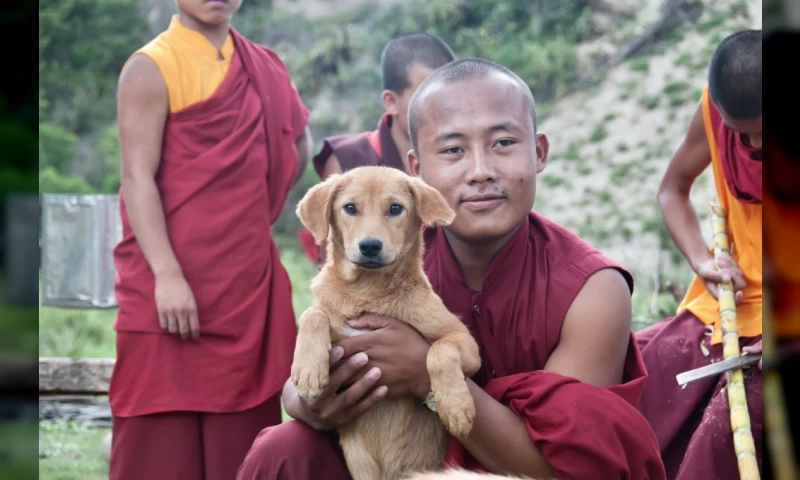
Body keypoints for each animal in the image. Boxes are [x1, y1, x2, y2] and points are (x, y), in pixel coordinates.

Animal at [294, 166, 482, 480]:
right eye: (350, 208)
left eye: (395, 208)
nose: (370, 246)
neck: (367, 291)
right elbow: (313, 314)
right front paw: (308, 369)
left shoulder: (464, 341)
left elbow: (439, 352)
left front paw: (456, 407)